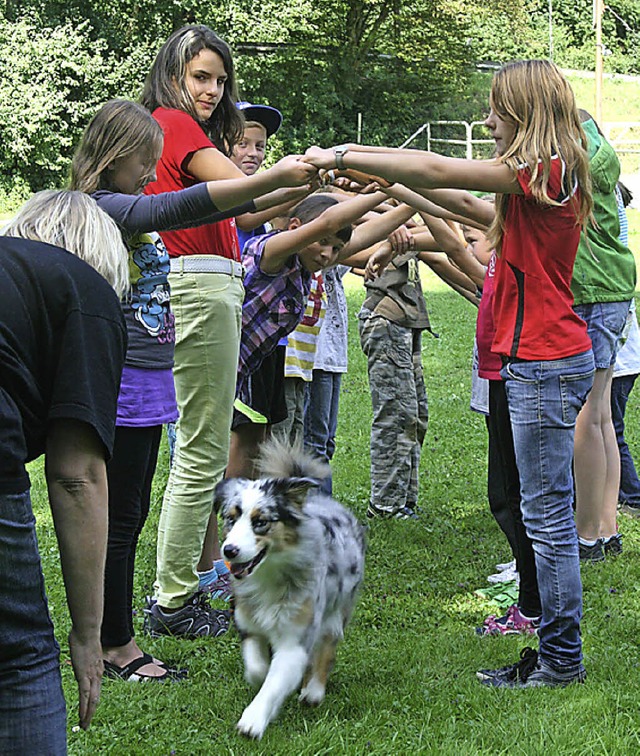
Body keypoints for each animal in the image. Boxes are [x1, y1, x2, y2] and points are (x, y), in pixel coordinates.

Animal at [214, 438, 364, 740]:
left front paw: (253, 720)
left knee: (327, 647)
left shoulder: (296, 637)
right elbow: (258, 669)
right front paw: (262, 680)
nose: (229, 550)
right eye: (230, 518)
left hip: (336, 609)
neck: (269, 573)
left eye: (261, 522)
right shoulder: (249, 624)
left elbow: (275, 681)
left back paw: (313, 691)